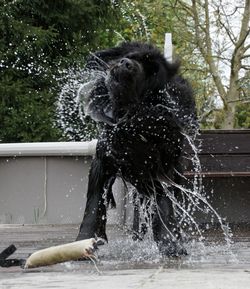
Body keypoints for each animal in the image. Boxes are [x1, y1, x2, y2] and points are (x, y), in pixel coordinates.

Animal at [76, 42, 197, 254]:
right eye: (132, 56)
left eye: (152, 72)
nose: (126, 64)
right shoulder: (103, 161)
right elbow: (94, 203)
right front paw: (84, 240)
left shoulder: (159, 170)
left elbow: (163, 206)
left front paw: (170, 243)